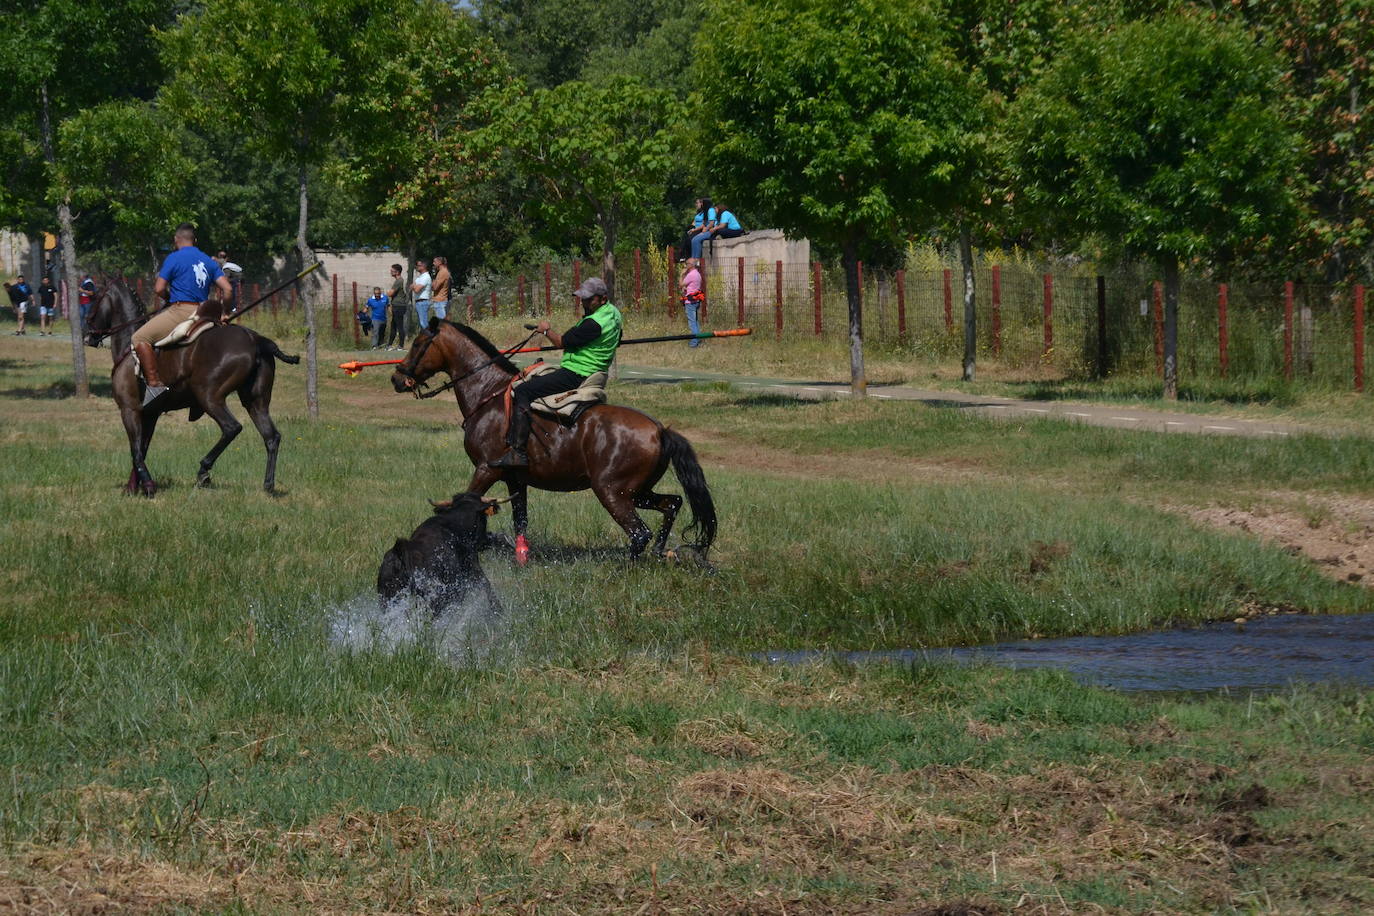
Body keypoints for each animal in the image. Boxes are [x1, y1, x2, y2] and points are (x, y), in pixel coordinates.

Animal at [88, 280, 300, 497]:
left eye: (93, 298)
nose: (89, 335)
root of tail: (255, 339)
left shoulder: (129, 409)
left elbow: (136, 450)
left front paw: (147, 486)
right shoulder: (150, 414)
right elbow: (142, 448)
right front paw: (133, 488)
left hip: (208, 396)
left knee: (231, 428)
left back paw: (203, 471)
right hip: (256, 402)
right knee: (271, 437)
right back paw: (268, 485)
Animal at [392, 318, 719, 563]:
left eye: (418, 343)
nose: (397, 379)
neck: (488, 394)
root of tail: (660, 430)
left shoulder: (486, 469)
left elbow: (468, 503)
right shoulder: (515, 479)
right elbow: (520, 520)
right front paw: (520, 558)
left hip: (613, 493)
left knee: (640, 533)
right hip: (638, 492)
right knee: (672, 505)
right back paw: (660, 553)